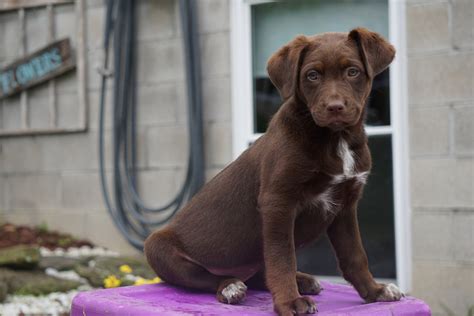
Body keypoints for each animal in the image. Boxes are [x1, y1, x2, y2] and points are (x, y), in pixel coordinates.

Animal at [145, 28, 404, 314]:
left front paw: (375, 291)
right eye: (312, 75)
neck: (336, 139)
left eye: (353, 71)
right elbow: (282, 257)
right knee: (208, 277)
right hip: (158, 248)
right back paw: (230, 286)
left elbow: (355, 255)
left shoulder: (345, 205)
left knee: (260, 273)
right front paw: (289, 301)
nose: (335, 107)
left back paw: (302, 280)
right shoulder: (278, 202)